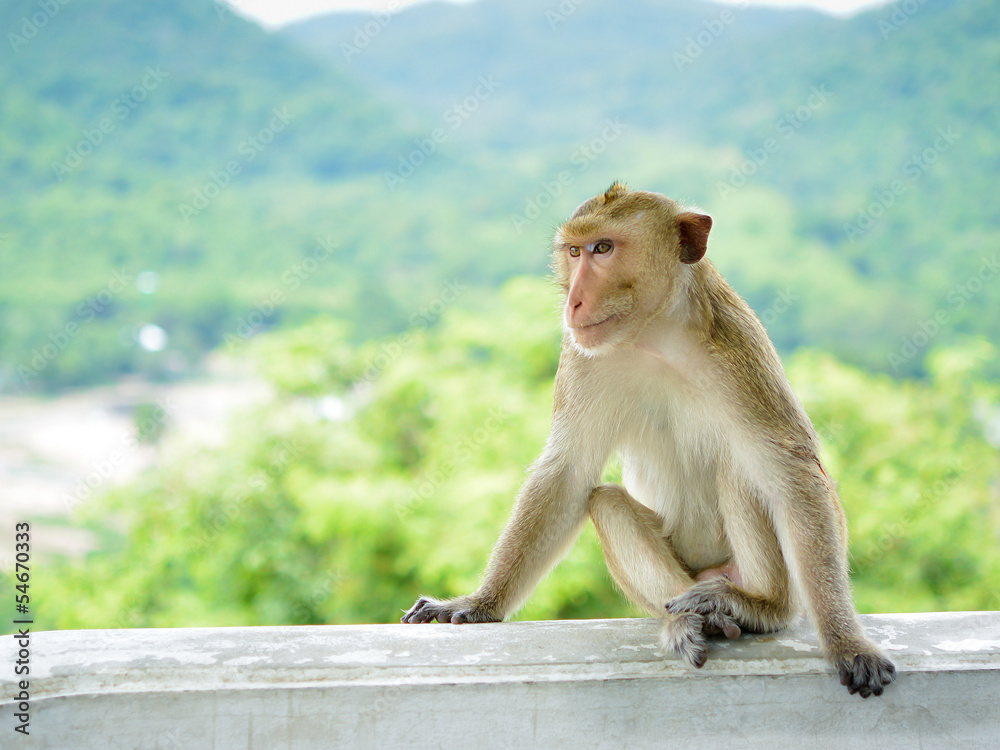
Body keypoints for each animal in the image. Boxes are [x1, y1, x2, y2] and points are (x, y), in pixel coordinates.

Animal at [402, 181, 896, 698]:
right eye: (574, 251)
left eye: (603, 248)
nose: (573, 301)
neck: (654, 333)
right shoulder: (581, 357)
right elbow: (567, 473)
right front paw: (479, 602)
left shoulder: (739, 350)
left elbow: (792, 473)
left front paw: (845, 642)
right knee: (608, 504)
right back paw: (689, 621)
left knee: (740, 471)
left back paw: (759, 606)